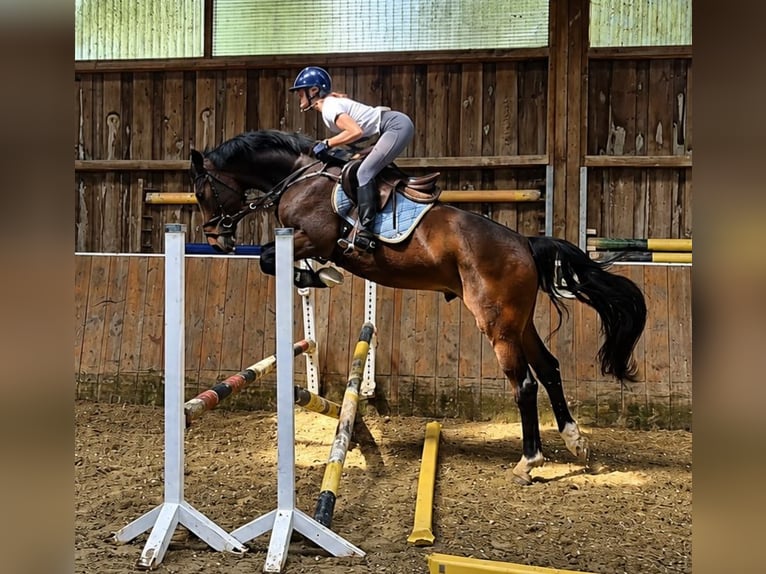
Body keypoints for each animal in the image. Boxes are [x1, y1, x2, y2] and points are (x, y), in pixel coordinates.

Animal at [189, 129, 647, 485]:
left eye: (202, 190)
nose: (216, 240)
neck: (301, 177)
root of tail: (525, 243)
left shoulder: (313, 236)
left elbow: (269, 258)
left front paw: (317, 275)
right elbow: (274, 259)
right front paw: (316, 274)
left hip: (496, 322)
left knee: (525, 383)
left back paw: (528, 461)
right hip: (520, 321)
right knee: (549, 369)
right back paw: (576, 443)